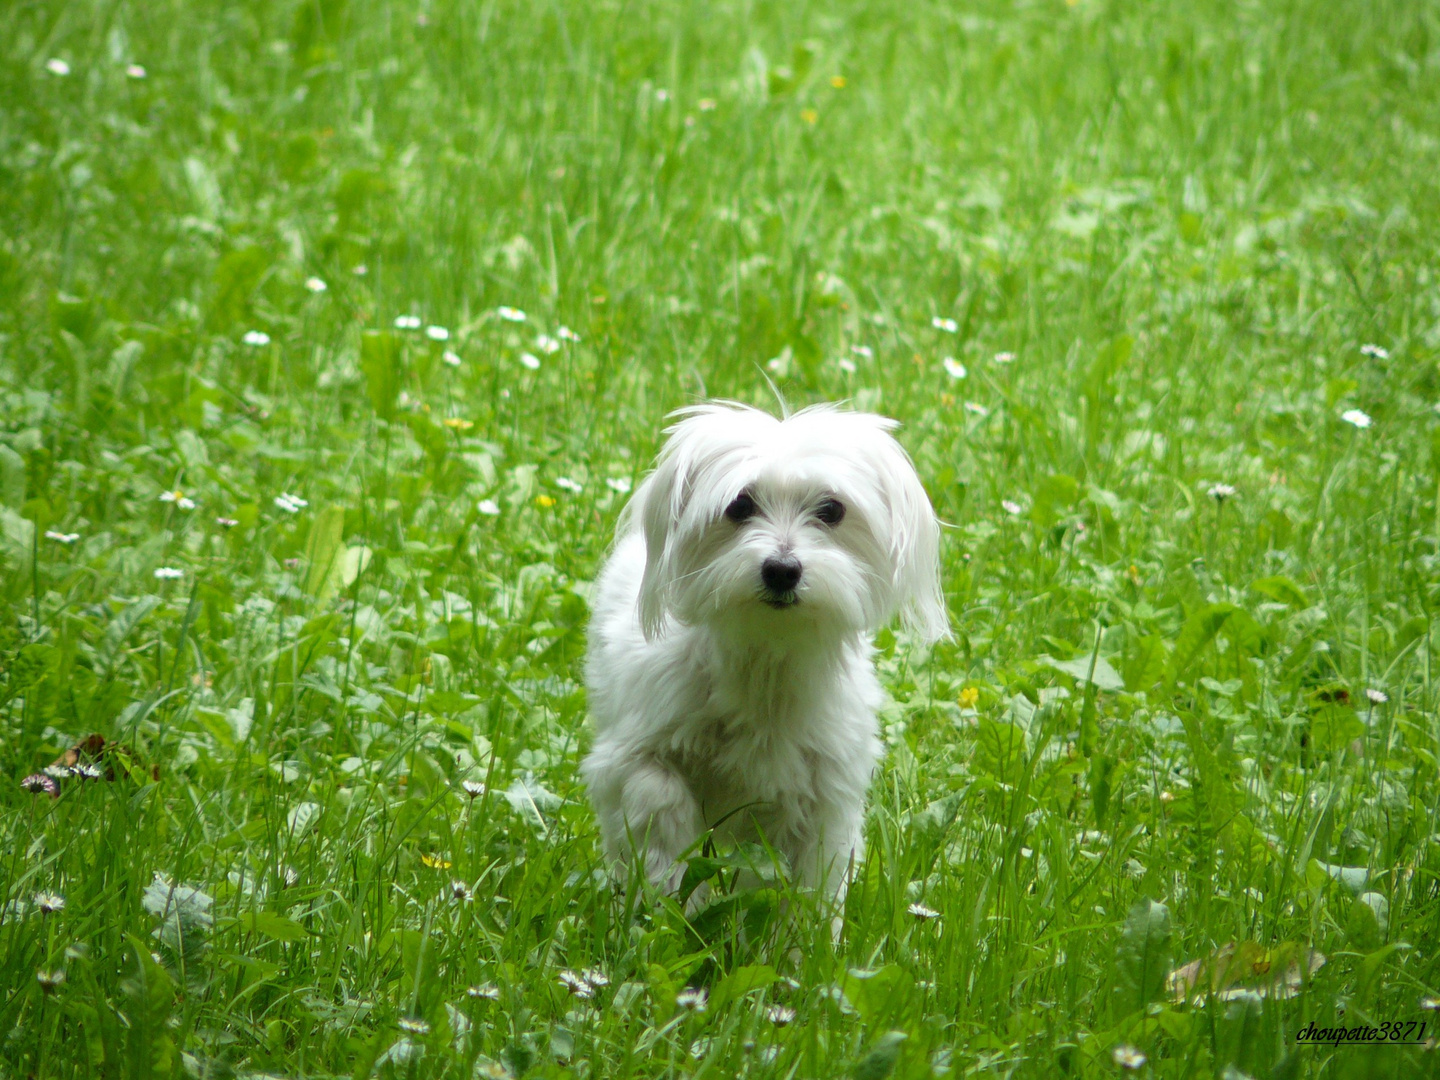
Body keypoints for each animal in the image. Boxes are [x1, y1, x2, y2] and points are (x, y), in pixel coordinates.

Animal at [578, 403, 950, 910]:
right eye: (739, 505)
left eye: (832, 510)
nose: (782, 569)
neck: (767, 657)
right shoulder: (635, 754)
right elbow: (660, 807)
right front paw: (672, 906)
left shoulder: (825, 794)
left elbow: (809, 885)